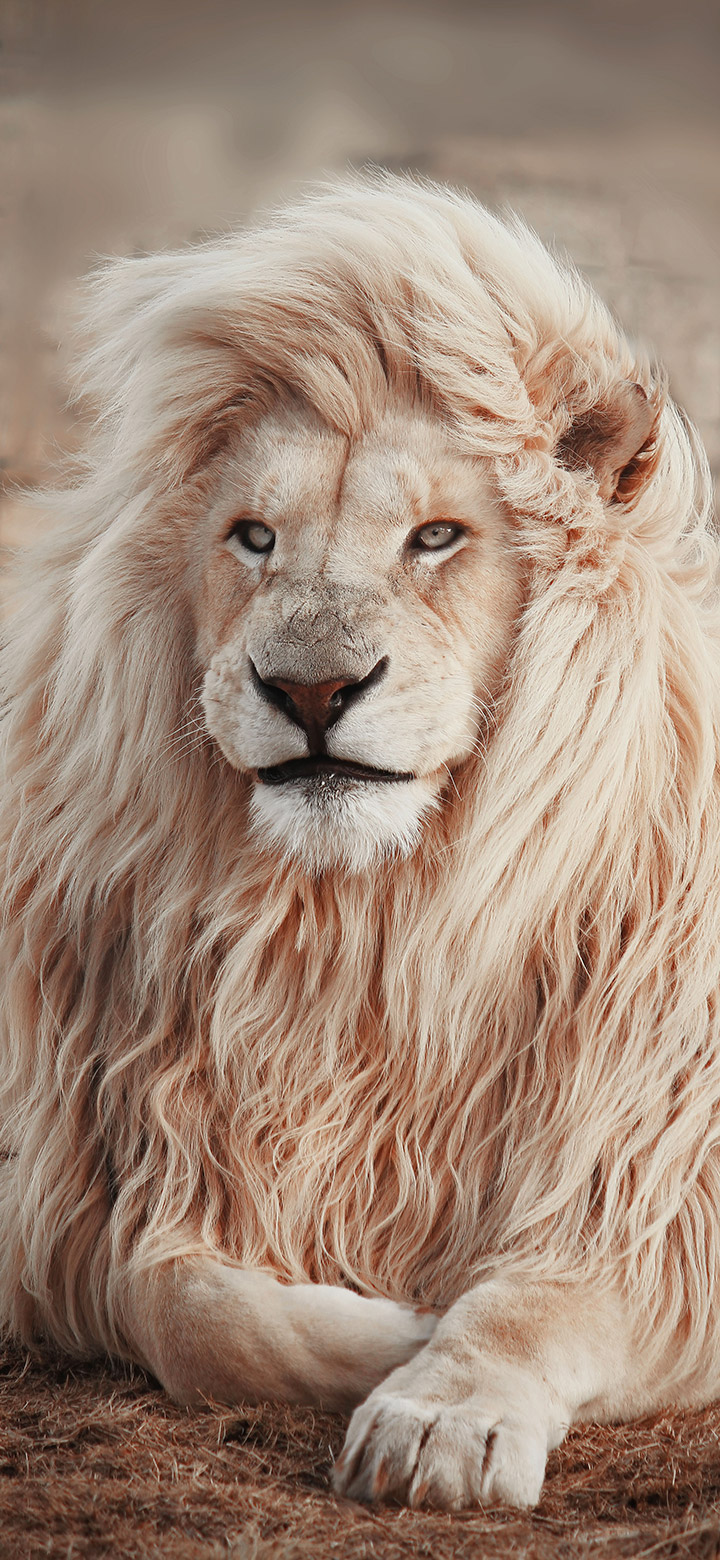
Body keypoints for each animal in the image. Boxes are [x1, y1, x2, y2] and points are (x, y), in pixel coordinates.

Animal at [1, 172, 718, 1512]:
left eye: (436, 538)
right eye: (253, 537)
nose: (311, 690)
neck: (369, 929)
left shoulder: (660, 1176)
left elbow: (539, 1299)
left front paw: (442, 1410)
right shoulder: (91, 1182)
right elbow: (176, 1300)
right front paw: (392, 1329)